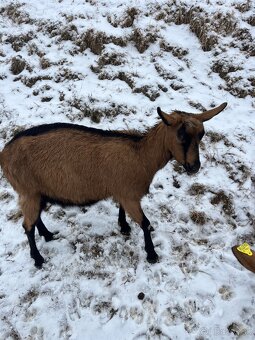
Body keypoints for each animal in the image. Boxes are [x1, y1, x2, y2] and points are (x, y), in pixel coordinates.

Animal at [0, 102, 227, 266]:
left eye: (201, 135)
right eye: (181, 135)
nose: (194, 167)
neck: (142, 156)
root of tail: (4, 155)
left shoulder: (123, 191)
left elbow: (122, 208)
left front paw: (124, 226)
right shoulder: (130, 195)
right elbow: (145, 223)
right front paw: (151, 254)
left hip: (37, 191)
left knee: (35, 218)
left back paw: (48, 235)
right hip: (28, 191)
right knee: (27, 225)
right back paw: (38, 259)